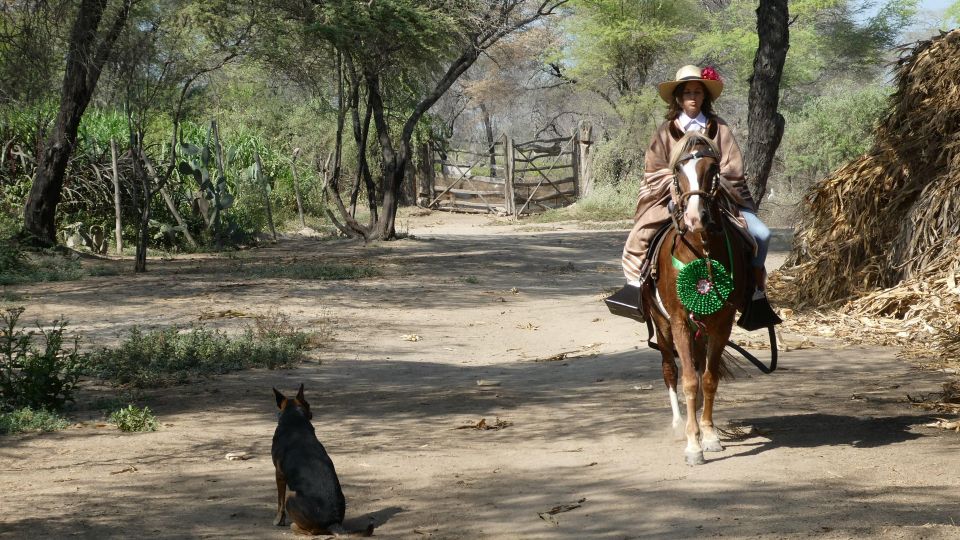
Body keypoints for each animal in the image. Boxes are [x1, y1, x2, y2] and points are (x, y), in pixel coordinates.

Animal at [274, 384, 376, 536]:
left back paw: (294, 526)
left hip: (291, 495)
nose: (312, 412)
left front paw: (278, 520)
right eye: (308, 404)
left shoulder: (279, 474)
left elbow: (279, 502)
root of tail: (333, 523)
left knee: (309, 531)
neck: (294, 418)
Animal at [640, 131, 752, 464]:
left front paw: (710, 435)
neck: (701, 252)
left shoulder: (721, 323)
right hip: (663, 327)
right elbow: (689, 380)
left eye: (712, 168)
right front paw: (693, 444)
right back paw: (679, 424)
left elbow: (709, 378)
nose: (695, 218)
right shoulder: (678, 322)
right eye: (678, 169)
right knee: (670, 369)